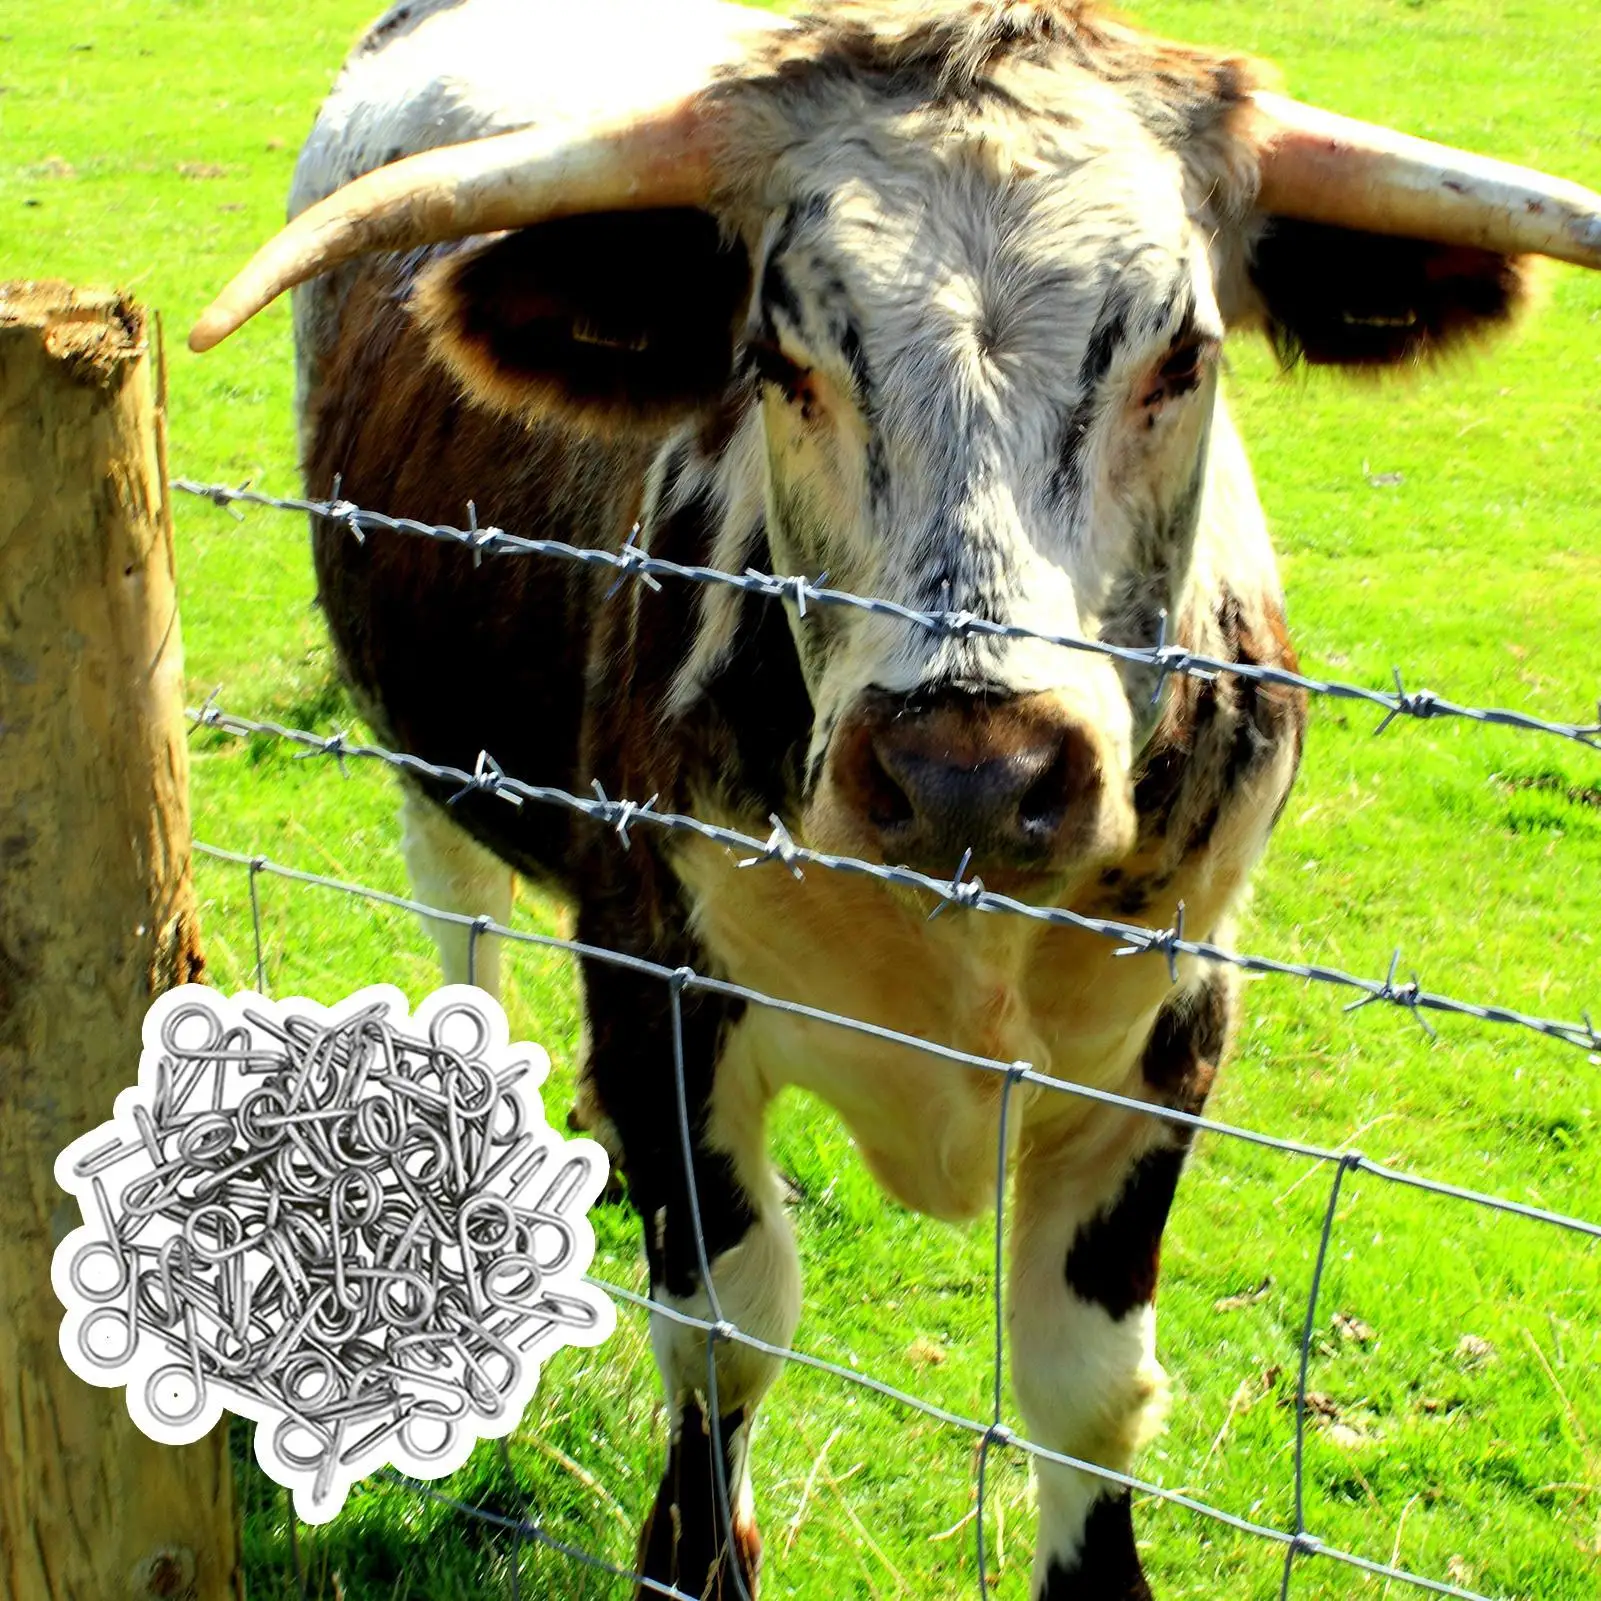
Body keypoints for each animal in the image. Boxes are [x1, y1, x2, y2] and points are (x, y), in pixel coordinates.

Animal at [190, 1, 1601, 1594]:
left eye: (1180, 356)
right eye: (778, 355)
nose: (967, 771)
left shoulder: (1177, 1022)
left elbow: (1085, 1388)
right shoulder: (657, 975)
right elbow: (726, 1330)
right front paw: (695, 1551)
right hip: (436, 769)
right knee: (467, 935)